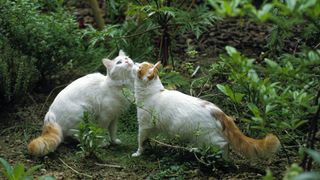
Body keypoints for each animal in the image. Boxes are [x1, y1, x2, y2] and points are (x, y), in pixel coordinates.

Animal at [130, 61, 280, 160]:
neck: (153, 92)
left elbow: (140, 141)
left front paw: (138, 153)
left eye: (139, 66)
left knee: (224, 144)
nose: (133, 62)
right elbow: (147, 140)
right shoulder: (151, 127)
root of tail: (220, 113)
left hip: (206, 136)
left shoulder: (143, 125)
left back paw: (222, 158)